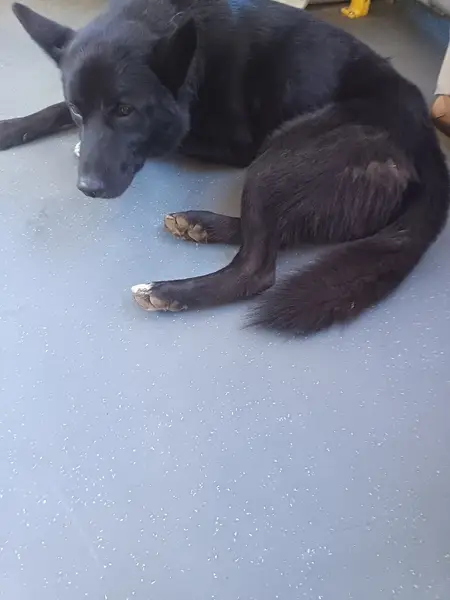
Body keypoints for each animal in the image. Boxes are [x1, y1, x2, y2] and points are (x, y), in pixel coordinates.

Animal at [0, 0, 448, 335]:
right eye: (79, 108)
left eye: (125, 111)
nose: (88, 188)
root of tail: (428, 144)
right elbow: (52, 110)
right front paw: (13, 127)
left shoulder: (229, 145)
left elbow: (170, 139)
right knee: (273, 231)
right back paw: (200, 225)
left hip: (277, 153)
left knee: (257, 269)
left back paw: (172, 291)